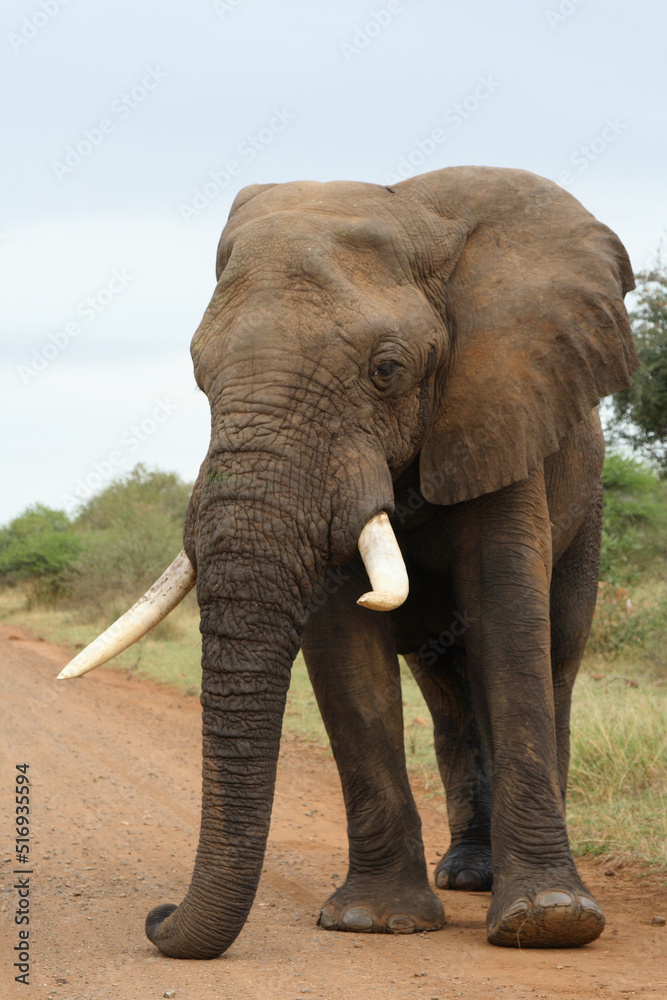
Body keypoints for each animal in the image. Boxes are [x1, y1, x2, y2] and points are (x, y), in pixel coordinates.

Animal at [59, 166, 638, 958]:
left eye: (386, 370)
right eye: (201, 376)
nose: (156, 916)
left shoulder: (500, 406)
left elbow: (508, 621)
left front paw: (549, 921)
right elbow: (345, 654)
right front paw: (375, 921)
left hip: (588, 512)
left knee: (554, 657)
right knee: (446, 692)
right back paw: (466, 875)